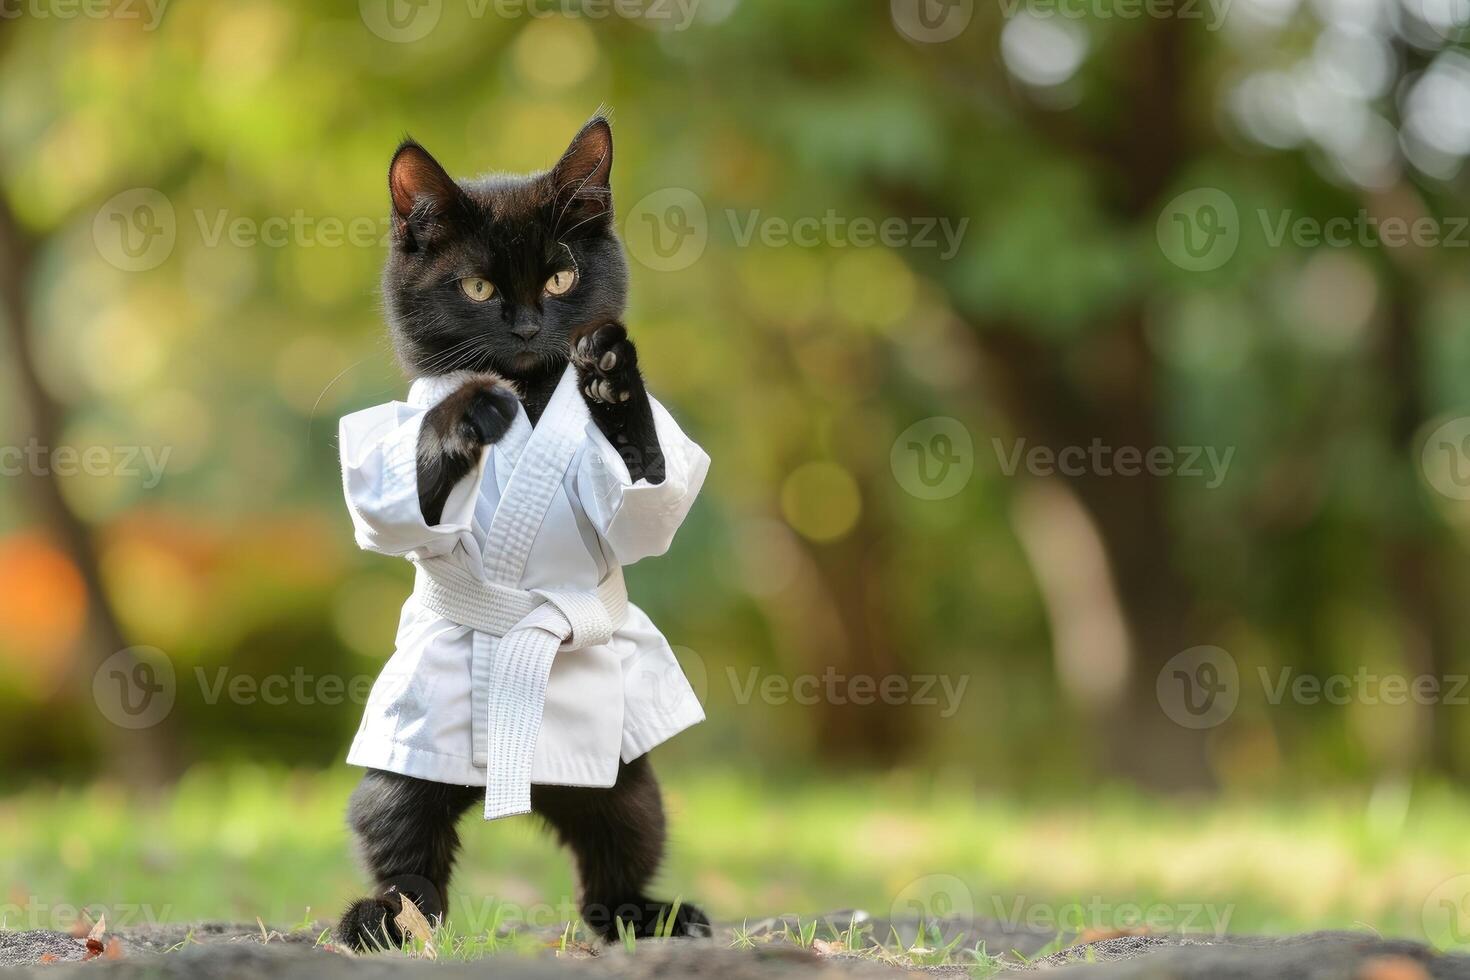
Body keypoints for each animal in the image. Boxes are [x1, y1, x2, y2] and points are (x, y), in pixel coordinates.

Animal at [343, 115, 711, 952]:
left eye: (560, 280)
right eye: (477, 287)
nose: (527, 325)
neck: (533, 389)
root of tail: (528, 787)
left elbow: (645, 495)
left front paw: (612, 380)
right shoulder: (382, 449)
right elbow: (392, 490)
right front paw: (467, 414)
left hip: (623, 781)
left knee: (618, 849)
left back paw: (647, 915)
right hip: (407, 773)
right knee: (403, 841)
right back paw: (385, 918)